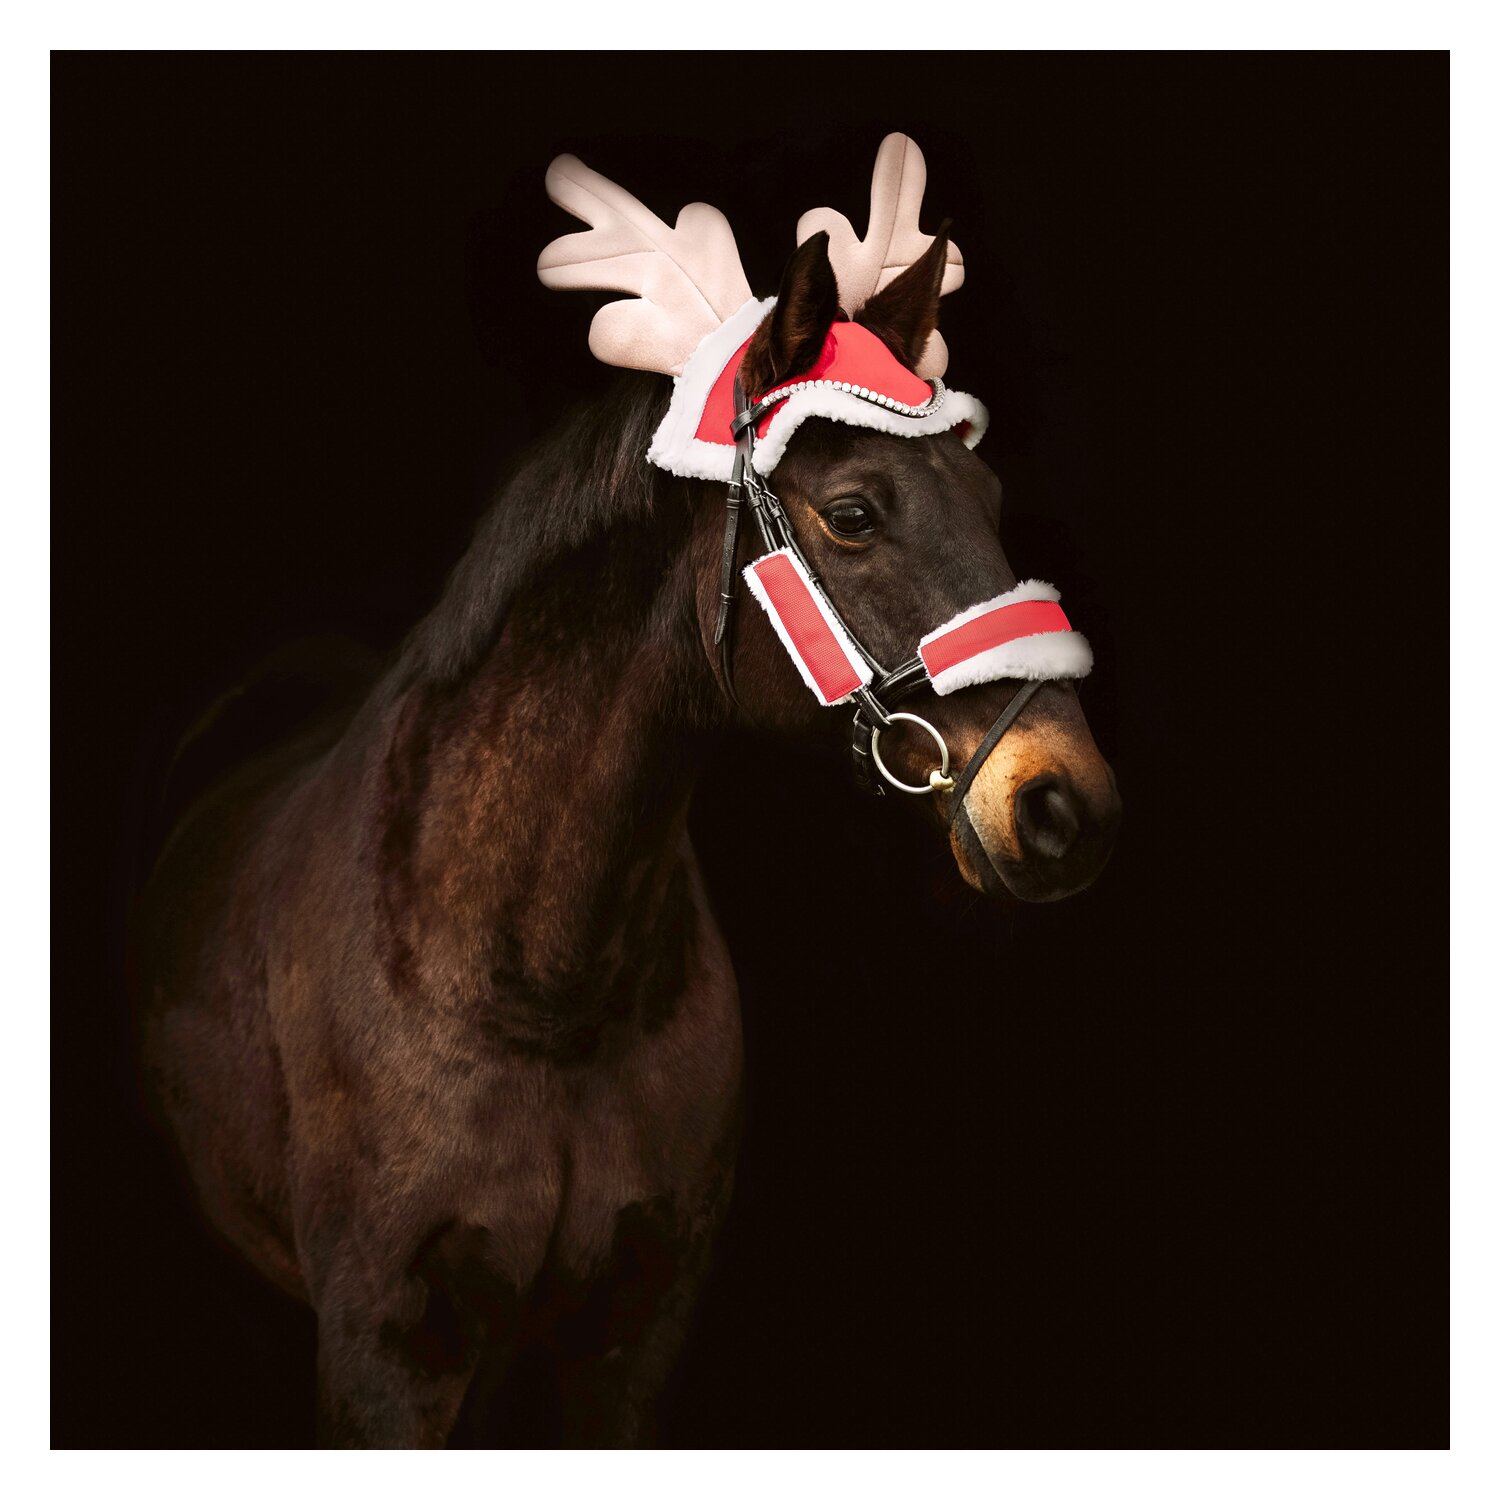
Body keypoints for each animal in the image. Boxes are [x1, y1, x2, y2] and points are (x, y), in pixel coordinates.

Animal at [136, 221, 1122, 1447]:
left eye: (985, 488)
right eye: (854, 512)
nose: (1066, 804)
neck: (540, 996)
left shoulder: (632, 1332)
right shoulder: (384, 1351)